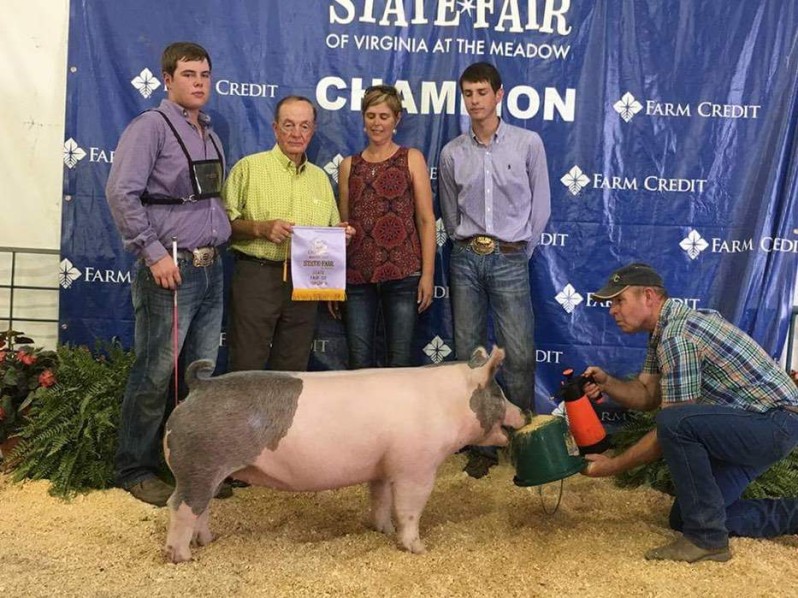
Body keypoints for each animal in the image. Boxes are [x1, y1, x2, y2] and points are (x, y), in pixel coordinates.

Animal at [162, 344, 524, 564]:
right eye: (498, 393)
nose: (525, 412)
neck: (446, 404)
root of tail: (200, 387)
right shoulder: (416, 467)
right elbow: (409, 510)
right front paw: (418, 548)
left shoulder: (383, 467)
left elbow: (380, 500)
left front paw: (383, 530)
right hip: (198, 465)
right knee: (179, 506)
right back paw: (183, 557)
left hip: (208, 471)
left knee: (201, 508)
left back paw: (207, 541)